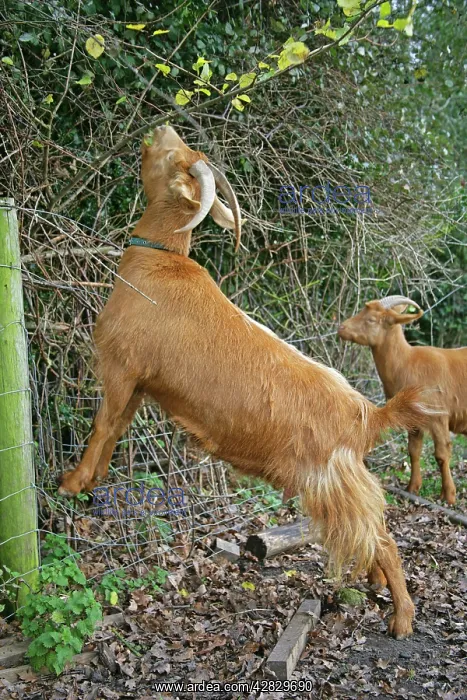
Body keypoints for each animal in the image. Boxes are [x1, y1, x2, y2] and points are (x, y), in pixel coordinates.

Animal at [59, 126, 430, 638]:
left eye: (176, 158)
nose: (162, 130)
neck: (158, 265)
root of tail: (369, 415)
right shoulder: (138, 386)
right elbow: (114, 431)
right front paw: (90, 483)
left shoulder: (120, 368)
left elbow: (100, 427)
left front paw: (71, 483)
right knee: (372, 539)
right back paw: (377, 587)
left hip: (332, 484)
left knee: (384, 539)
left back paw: (402, 619)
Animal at [338, 296, 467, 505]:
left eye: (371, 320)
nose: (341, 328)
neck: (407, 363)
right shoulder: (413, 417)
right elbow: (413, 451)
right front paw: (412, 488)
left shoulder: (438, 416)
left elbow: (441, 455)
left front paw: (448, 496)